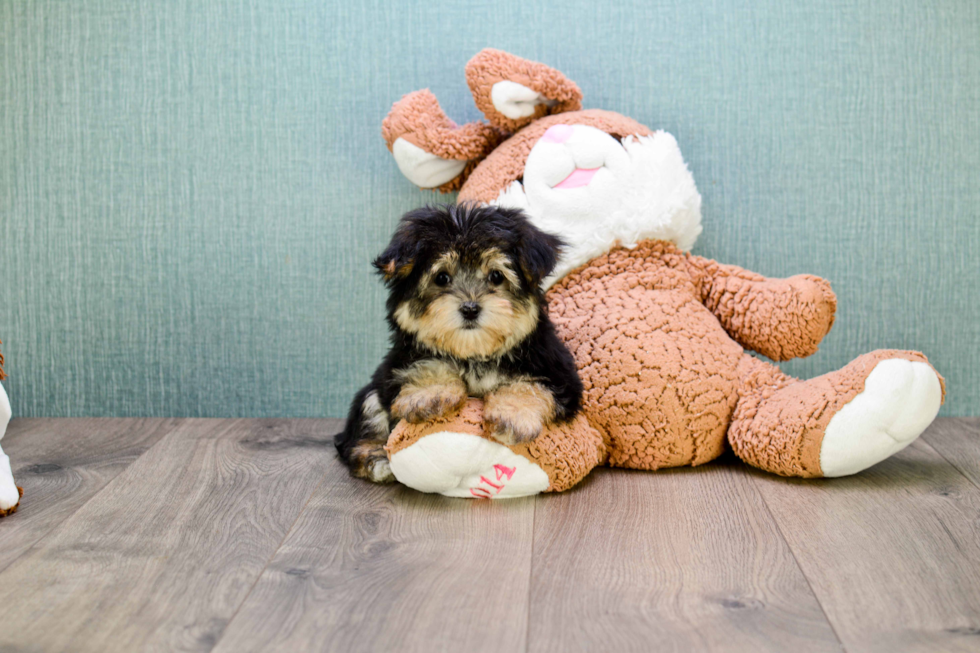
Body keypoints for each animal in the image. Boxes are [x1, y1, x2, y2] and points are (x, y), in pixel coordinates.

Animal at [336, 205, 580, 484]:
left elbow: (531, 385)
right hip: (371, 394)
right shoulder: (399, 361)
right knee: (365, 420)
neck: (473, 354)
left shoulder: (556, 369)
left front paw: (512, 414)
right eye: (442, 277)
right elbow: (428, 362)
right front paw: (429, 395)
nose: (470, 308)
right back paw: (376, 459)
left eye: (496, 276)